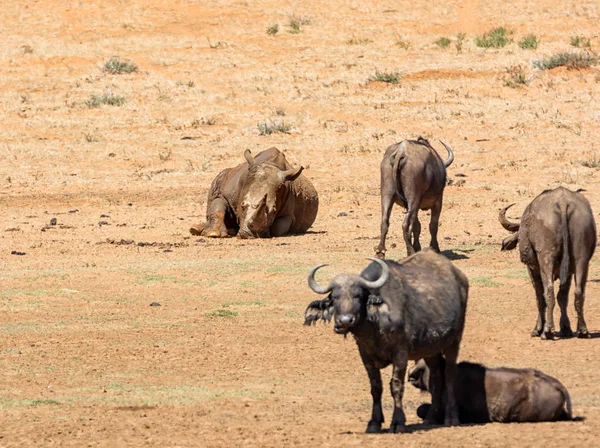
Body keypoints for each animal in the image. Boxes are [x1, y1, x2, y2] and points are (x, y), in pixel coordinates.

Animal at [190, 147, 318, 238]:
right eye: (242, 206)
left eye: (273, 210)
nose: (248, 234)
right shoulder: (224, 193)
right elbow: (218, 207)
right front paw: (213, 234)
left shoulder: (288, 212)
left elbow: (278, 227)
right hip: (221, 176)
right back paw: (196, 229)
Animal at [304, 250, 468, 432]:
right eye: (335, 297)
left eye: (358, 296)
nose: (345, 321)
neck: (374, 325)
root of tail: (460, 277)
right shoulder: (365, 354)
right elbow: (376, 387)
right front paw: (374, 422)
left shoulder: (401, 353)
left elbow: (396, 386)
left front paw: (397, 422)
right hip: (431, 348)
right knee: (436, 376)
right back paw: (431, 418)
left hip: (454, 340)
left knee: (450, 374)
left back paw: (451, 418)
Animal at [496, 186, 596, 340]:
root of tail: (563, 202)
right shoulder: (568, 272)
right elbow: (563, 297)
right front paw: (565, 328)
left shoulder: (532, 269)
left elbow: (540, 298)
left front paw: (538, 329)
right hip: (582, 259)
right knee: (579, 292)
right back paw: (582, 330)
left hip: (546, 259)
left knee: (548, 291)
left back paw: (547, 331)